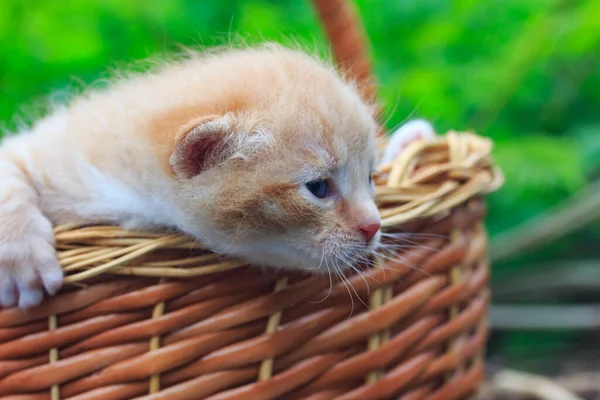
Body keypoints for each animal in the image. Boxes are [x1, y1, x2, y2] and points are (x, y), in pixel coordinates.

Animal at [0, 43, 434, 308]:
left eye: (371, 178)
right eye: (318, 188)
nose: (374, 226)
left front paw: (412, 142)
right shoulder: (45, 151)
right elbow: (10, 181)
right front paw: (23, 262)